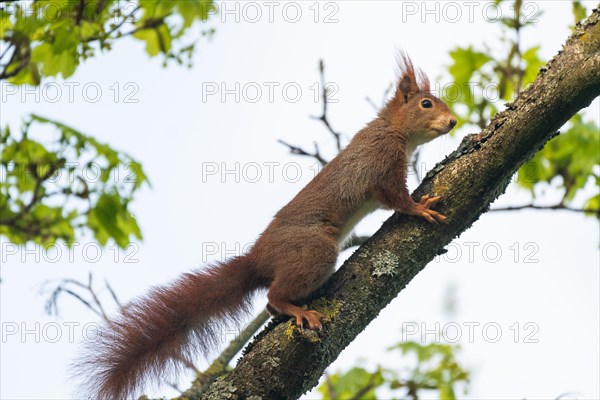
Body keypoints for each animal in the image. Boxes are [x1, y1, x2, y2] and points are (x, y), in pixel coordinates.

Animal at [77, 54, 458, 400]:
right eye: (426, 103)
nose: (454, 121)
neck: (393, 130)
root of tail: (257, 259)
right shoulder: (382, 165)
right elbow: (397, 199)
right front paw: (420, 208)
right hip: (315, 249)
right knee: (273, 298)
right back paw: (298, 311)